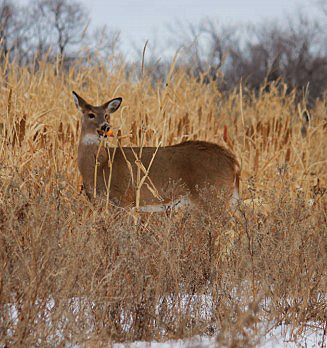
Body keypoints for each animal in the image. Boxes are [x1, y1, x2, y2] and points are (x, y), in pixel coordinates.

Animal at [73, 92, 241, 211]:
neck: (100, 166)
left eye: (107, 115)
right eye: (91, 114)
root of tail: (233, 161)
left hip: (213, 196)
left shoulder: (124, 198)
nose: (105, 126)